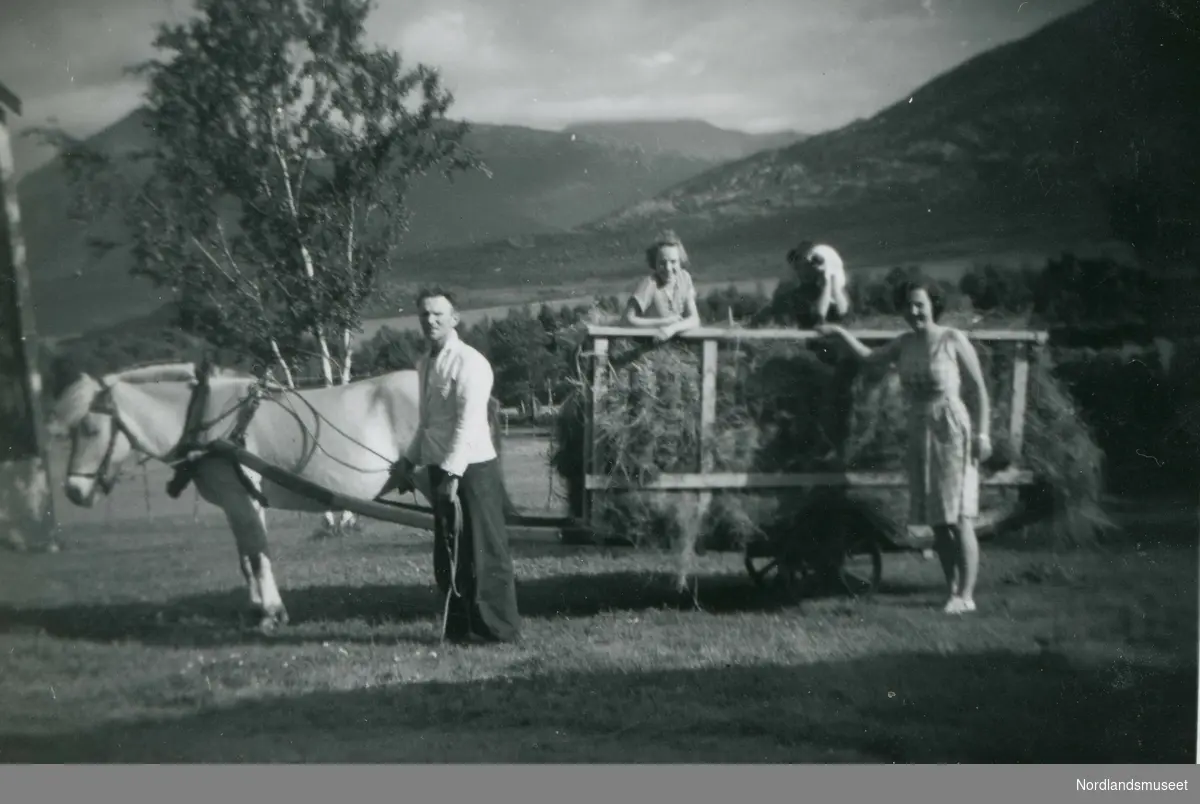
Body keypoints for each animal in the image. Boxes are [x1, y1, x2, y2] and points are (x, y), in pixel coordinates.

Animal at [43, 362, 487, 633]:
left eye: (91, 430)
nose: (74, 491)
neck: (207, 418)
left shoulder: (243, 499)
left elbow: (257, 555)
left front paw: (272, 614)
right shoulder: (233, 503)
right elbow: (245, 558)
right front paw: (256, 608)